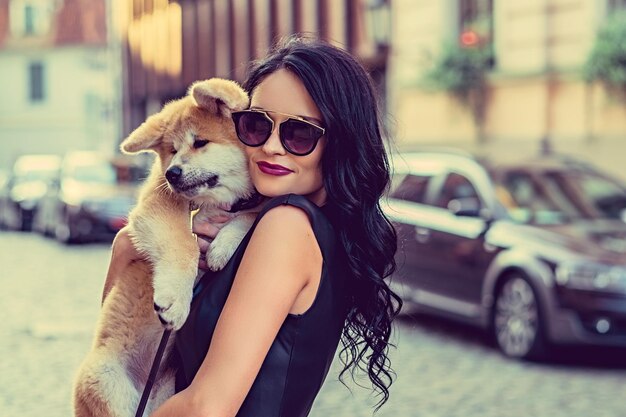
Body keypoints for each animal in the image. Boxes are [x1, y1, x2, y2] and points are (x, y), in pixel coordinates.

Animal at [73, 79, 256, 416]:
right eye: (172, 150)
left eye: (200, 143)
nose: (172, 173)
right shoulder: (159, 207)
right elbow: (185, 246)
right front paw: (175, 301)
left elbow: (252, 214)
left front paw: (224, 245)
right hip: (107, 383)